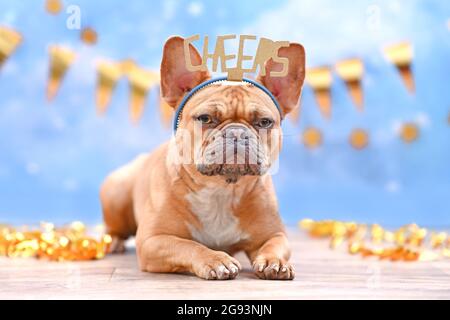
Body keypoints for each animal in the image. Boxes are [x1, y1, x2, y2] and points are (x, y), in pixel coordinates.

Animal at [100, 35, 306, 280]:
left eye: (265, 122)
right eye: (205, 118)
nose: (237, 132)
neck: (221, 190)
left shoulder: (274, 234)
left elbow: (274, 245)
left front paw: (274, 262)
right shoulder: (154, 240)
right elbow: (188, 245)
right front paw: (216, 259)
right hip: (117, 191)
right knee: (115, 229)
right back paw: (113, 241)